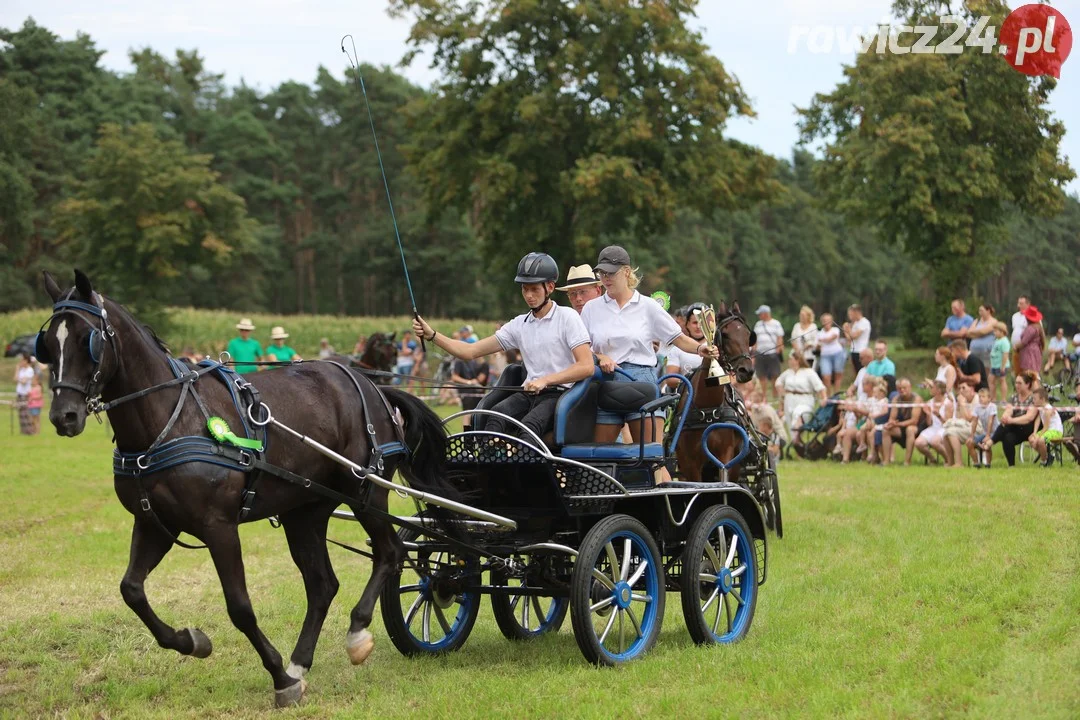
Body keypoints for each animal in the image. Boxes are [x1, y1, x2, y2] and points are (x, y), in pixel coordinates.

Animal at [38, 273, 457, 708]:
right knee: (323, 584)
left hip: (365, 493)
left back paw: (355, 634)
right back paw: (300, 662)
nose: (63, 415)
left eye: (88, 339)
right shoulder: (154, 523)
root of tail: (370, 386)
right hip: (304, 509)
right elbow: (131, 590)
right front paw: (193, 642)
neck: (170, 417)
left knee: (390, 553)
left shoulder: (219, 526)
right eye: (47, 343)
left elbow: (239, 607)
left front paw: (279, 677)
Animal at [669, 302, 756, 481]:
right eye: (725, 334)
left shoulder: (725, 455)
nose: (746, 371)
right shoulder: (689, 463)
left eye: (747, 335)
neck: (707, 409)